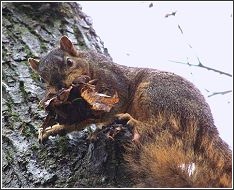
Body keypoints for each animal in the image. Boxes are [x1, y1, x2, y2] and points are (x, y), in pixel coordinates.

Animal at [27, 35, 232, 187]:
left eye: (69, 62)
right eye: (42, 79)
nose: (61, 87)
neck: (89, 66)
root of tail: (207, 125)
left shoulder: (114, 85)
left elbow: (108, 108)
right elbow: (78, 121)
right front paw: (53, 129)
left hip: (155, 95)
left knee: (165, 126)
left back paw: (132, 120)